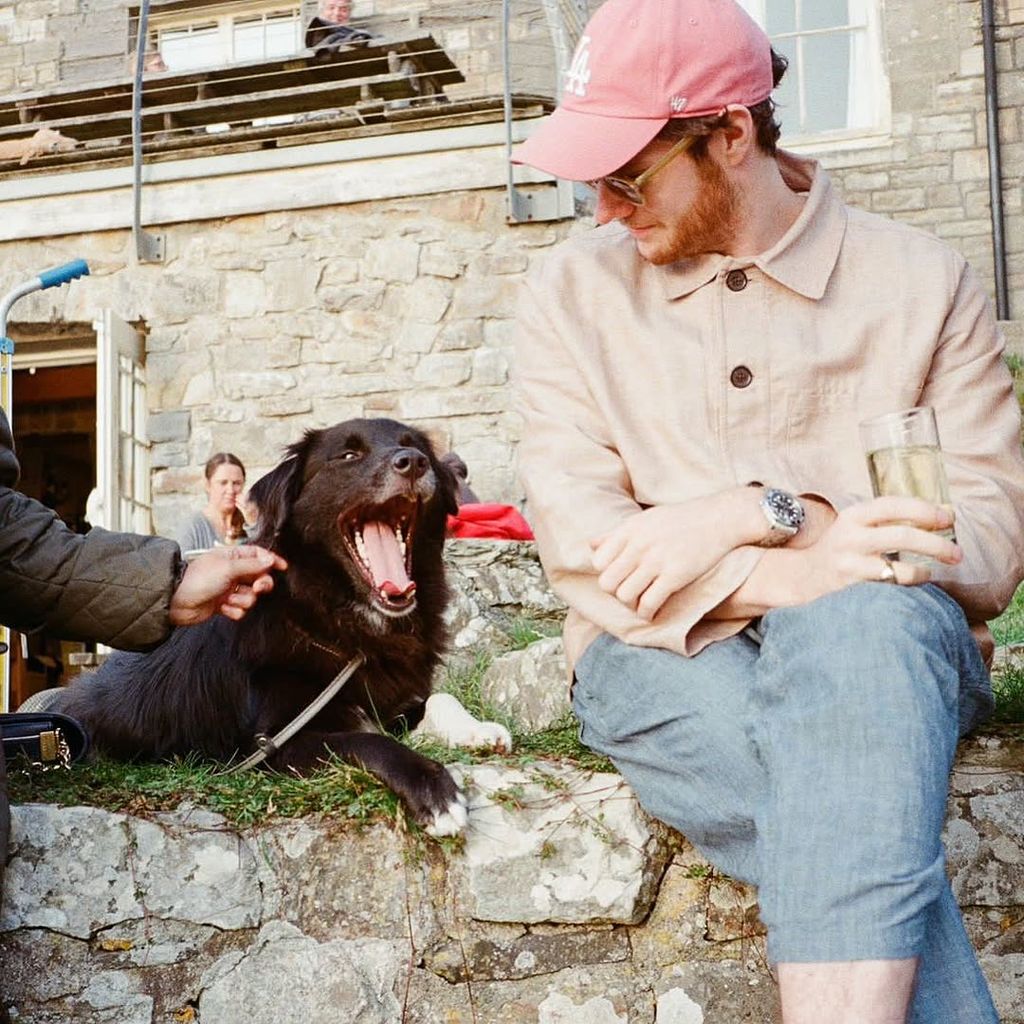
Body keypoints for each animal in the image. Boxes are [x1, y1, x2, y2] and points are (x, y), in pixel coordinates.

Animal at [54, 419, 509, 835]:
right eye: (348, 455)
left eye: (415, 446)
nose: (412, 462)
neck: (351, 631)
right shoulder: (273, 745)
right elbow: (365, 740)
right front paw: (432, 788)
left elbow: (439, 698)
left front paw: (476, 729)